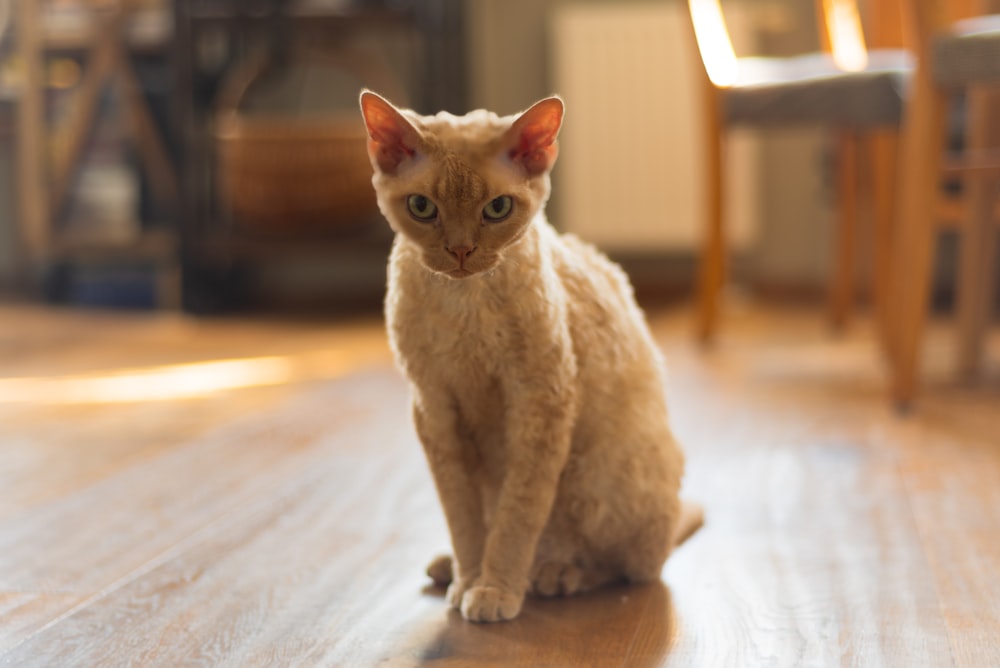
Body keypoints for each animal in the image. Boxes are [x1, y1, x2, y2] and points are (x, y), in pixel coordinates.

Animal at [362, 91, 704, 624]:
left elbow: (517, 515)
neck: (465, 307)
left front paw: (495, 588)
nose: (460, 251)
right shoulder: (433, 409)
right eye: (421, 207)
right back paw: (449, 568)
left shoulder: (541, 402)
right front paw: (469, 577)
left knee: (633, 566)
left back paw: (555, 573)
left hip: (597, 478)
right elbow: (463, 517)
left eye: (498, 208)